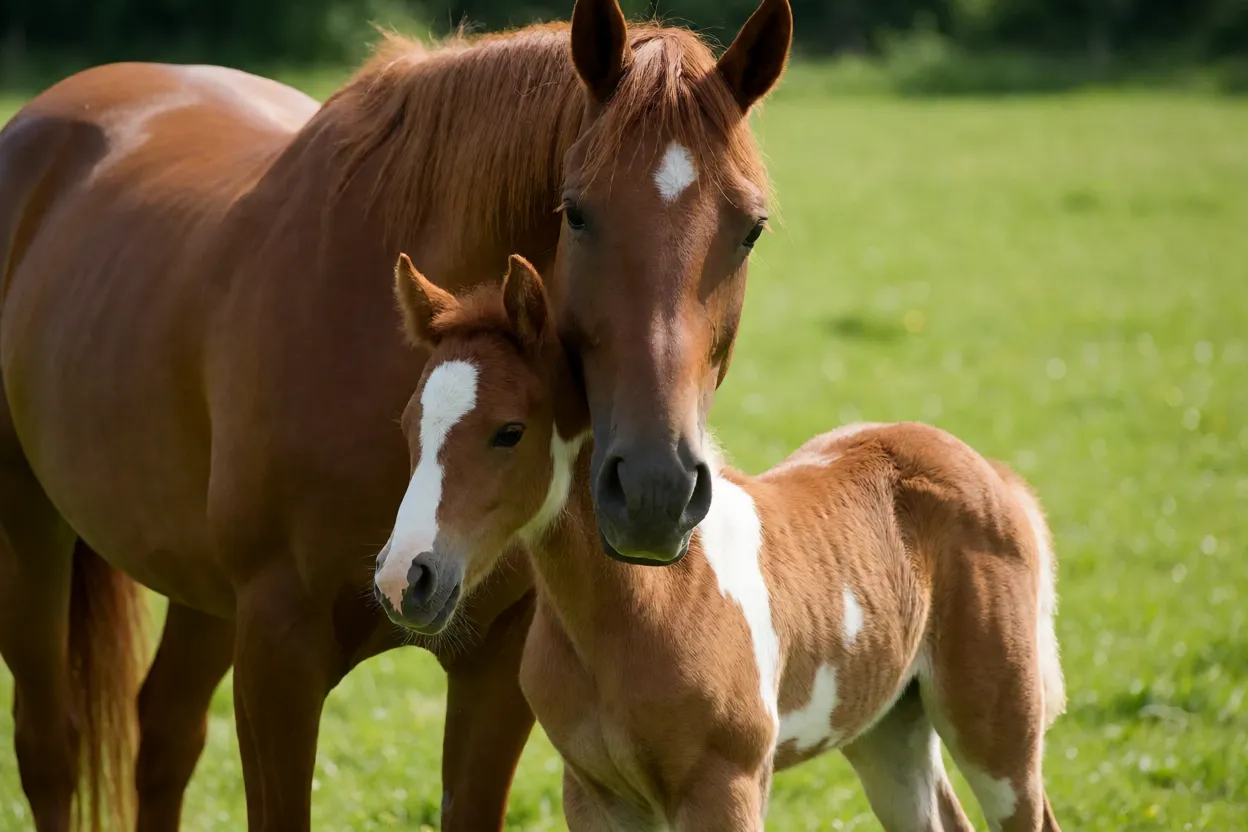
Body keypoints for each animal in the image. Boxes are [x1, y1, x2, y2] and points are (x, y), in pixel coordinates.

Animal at [0, 0, 793, 828]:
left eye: (750, 228)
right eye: (577, 213)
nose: (653, 491)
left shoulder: (494, 664)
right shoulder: (277, 651)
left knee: (164, 735)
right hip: (31, 537)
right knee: (49, 746)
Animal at [378, 252, 1068, 831]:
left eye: (509, 431)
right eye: (409, 423)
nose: (406, 577)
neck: (646, 604)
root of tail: (993, 473)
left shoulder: (726, 787)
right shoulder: (596, 794)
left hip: (997, 731)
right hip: (887, 729)